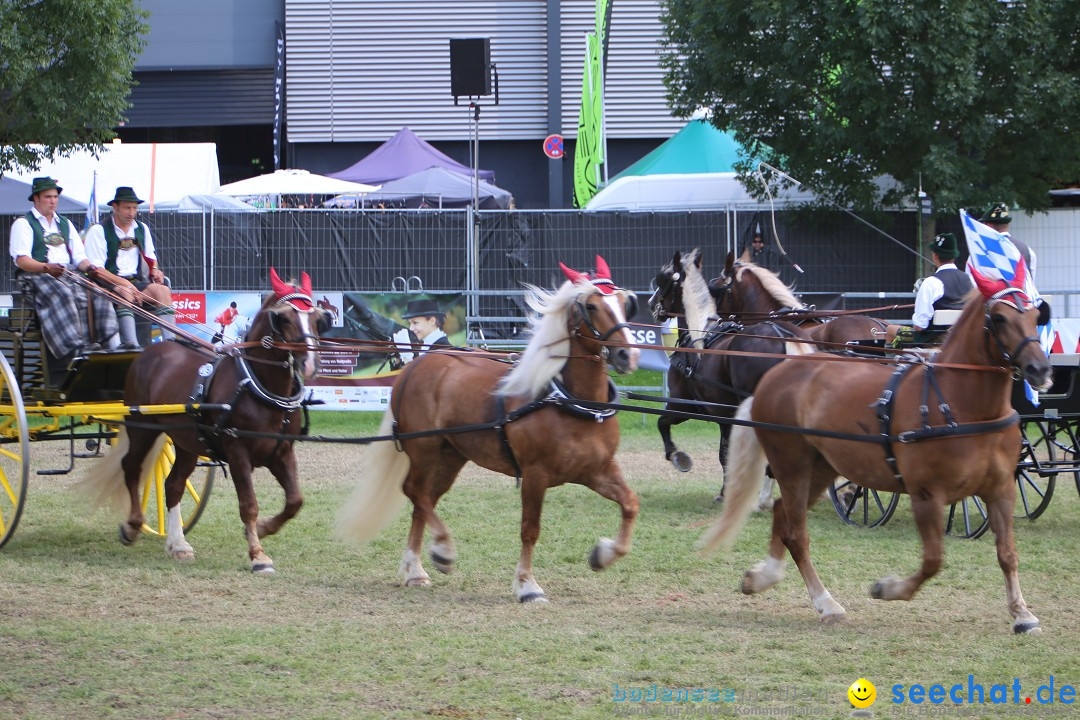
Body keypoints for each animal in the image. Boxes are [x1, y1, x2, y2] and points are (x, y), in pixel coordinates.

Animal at [80, 268, 328, 574]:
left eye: (316, 319)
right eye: (285, 318)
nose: (310, 364)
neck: (257, 384)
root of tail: (150, 351)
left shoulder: (281, 451)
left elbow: (295, 501)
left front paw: (263, 528)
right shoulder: (238, 453)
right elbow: (248, 503)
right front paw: (258, 555)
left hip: (187, 441)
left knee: (173, 484)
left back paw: (178, 544)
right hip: (142, 428)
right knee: (131, 467)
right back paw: (133, 526)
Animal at [336, 255, 639, 604]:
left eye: (625, 303)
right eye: (591, 306)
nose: (628, 355)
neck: (570, 401)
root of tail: (416, 367)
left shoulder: (597, 470)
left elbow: (630, 504)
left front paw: (603, 554)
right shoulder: (535, 475)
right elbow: (530, 529)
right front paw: (527, 586)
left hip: (450, 456)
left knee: (423, 500)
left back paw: (416, 569)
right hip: (424, 450)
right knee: (414, 491)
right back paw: (441, 551)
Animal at [648, 250, 812, 498]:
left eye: (663, 281)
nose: (651, 303)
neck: (700, 334)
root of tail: (784, 335)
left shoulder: (685, 405)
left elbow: (663, 422)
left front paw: (679, 458)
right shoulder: (722, 414)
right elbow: (724, 452)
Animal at [704, 289, 1049, 634]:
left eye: (1036, 316)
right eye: (1000, 318)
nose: (1040, 370)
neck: (958, 403)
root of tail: (774, 377)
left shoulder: (1001, 490)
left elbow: (1007, 553)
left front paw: (1022, 614)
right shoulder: (927, 496)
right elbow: (933, 560)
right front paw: (888, 588)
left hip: (821, 467)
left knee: (782, 514)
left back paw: (765, 577)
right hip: (791, 463)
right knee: (797, 535)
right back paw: (826, 604)